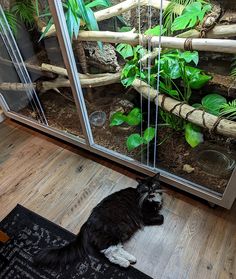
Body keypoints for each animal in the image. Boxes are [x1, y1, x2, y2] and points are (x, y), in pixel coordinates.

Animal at [34, 173, 164, 270]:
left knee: (115, 249)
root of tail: (87, 223)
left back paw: (130, 258)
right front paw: (159, 213)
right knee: (109, 253)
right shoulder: (145, 215)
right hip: (113, 232)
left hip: (117, 233)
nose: (151, 190)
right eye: (146, 187)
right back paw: (125, 263)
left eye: (153, 184)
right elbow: (162, 217)